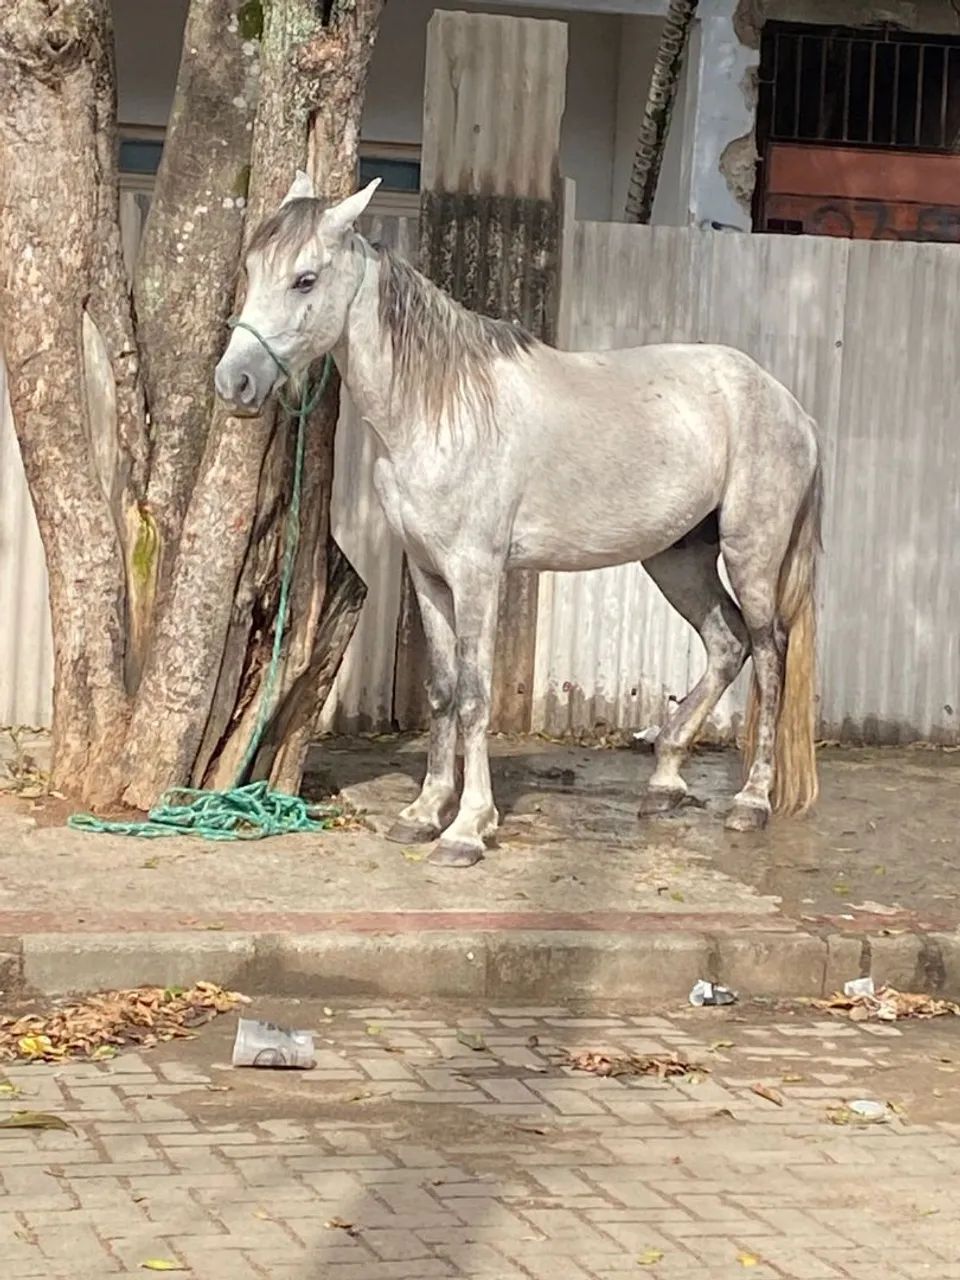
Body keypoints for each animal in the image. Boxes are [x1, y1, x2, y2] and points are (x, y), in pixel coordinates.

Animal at [215, 173, 823, 869]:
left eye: (306, 279)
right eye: (252, 269)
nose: (234, 382)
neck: (440, 407)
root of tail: (789, 405)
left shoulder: (477, 573)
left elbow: (476, 697)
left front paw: (467, 829)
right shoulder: (428, 573)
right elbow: (443, 691)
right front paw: (423, 813)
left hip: (752, 555)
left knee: (769, 655)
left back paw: (751, 801)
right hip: (676, 558)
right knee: (726, 643)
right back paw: (665, 782)